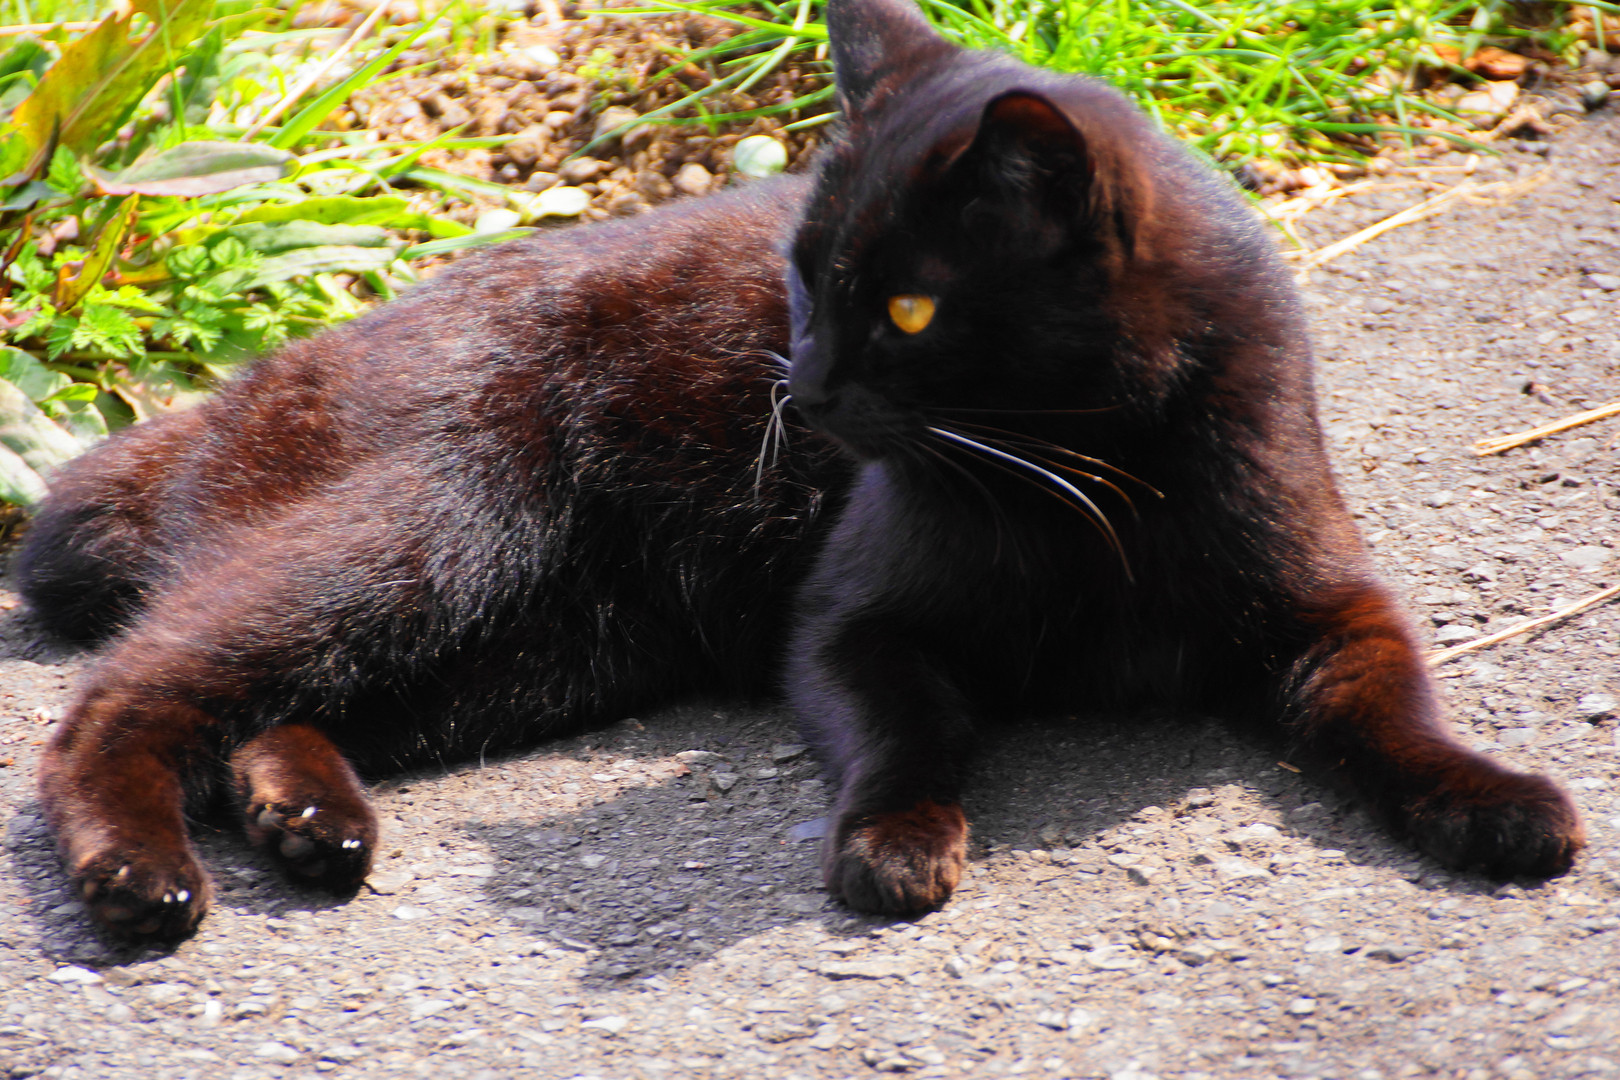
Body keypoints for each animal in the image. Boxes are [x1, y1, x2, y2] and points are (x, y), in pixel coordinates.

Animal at [17, 0, 1583, 942]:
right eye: (801, 280)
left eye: (909, 309)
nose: (802, 388)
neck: (1090, 487)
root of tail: (245, 387)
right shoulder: (844, 625)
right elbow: (913, 728)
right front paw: (895, 845)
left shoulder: (1333, 607)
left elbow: (1395, 709)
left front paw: (1499, 802)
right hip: (436, 534)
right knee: (125, 694)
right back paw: (141, 875)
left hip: (529, 646)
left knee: (268, 711)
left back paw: (309, 822)